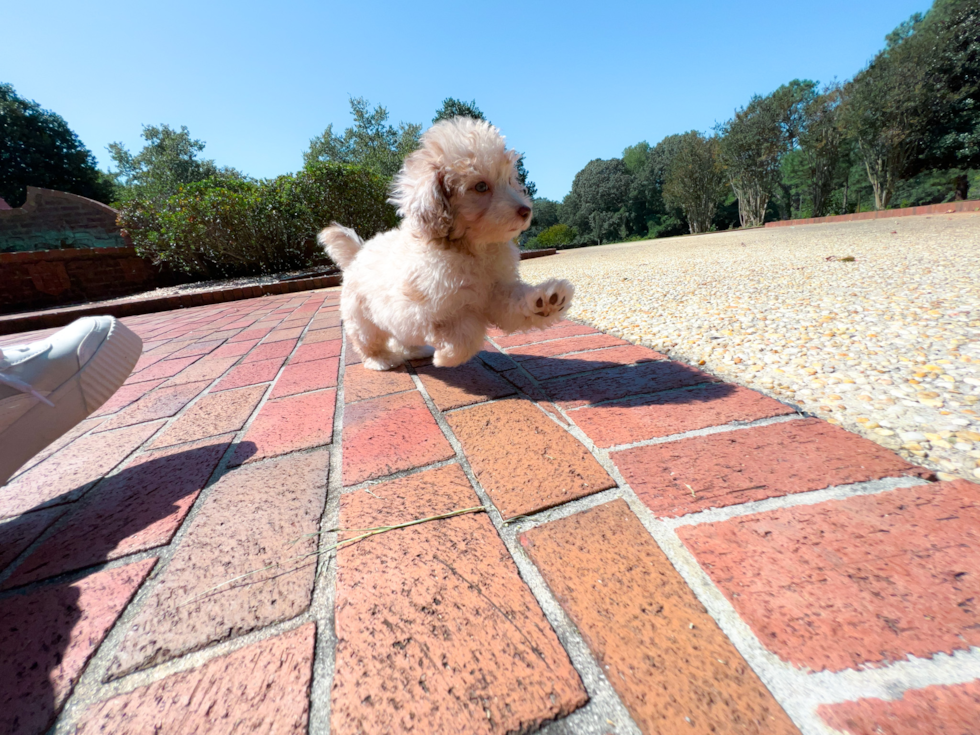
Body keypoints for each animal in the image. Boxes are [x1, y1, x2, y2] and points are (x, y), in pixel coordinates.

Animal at [320, 121, 576, 374]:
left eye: (510, 181)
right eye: (481, 186)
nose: (525, 210)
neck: (473, 249)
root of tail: (357, 253)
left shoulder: (496, 290)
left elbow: (512, 305)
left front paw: (546, 302)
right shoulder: (425, 312)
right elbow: (467, 334)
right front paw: (446, 357)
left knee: (401, 339)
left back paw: (416, 351)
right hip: (361, 318)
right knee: (369, 341)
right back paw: (381, 360)